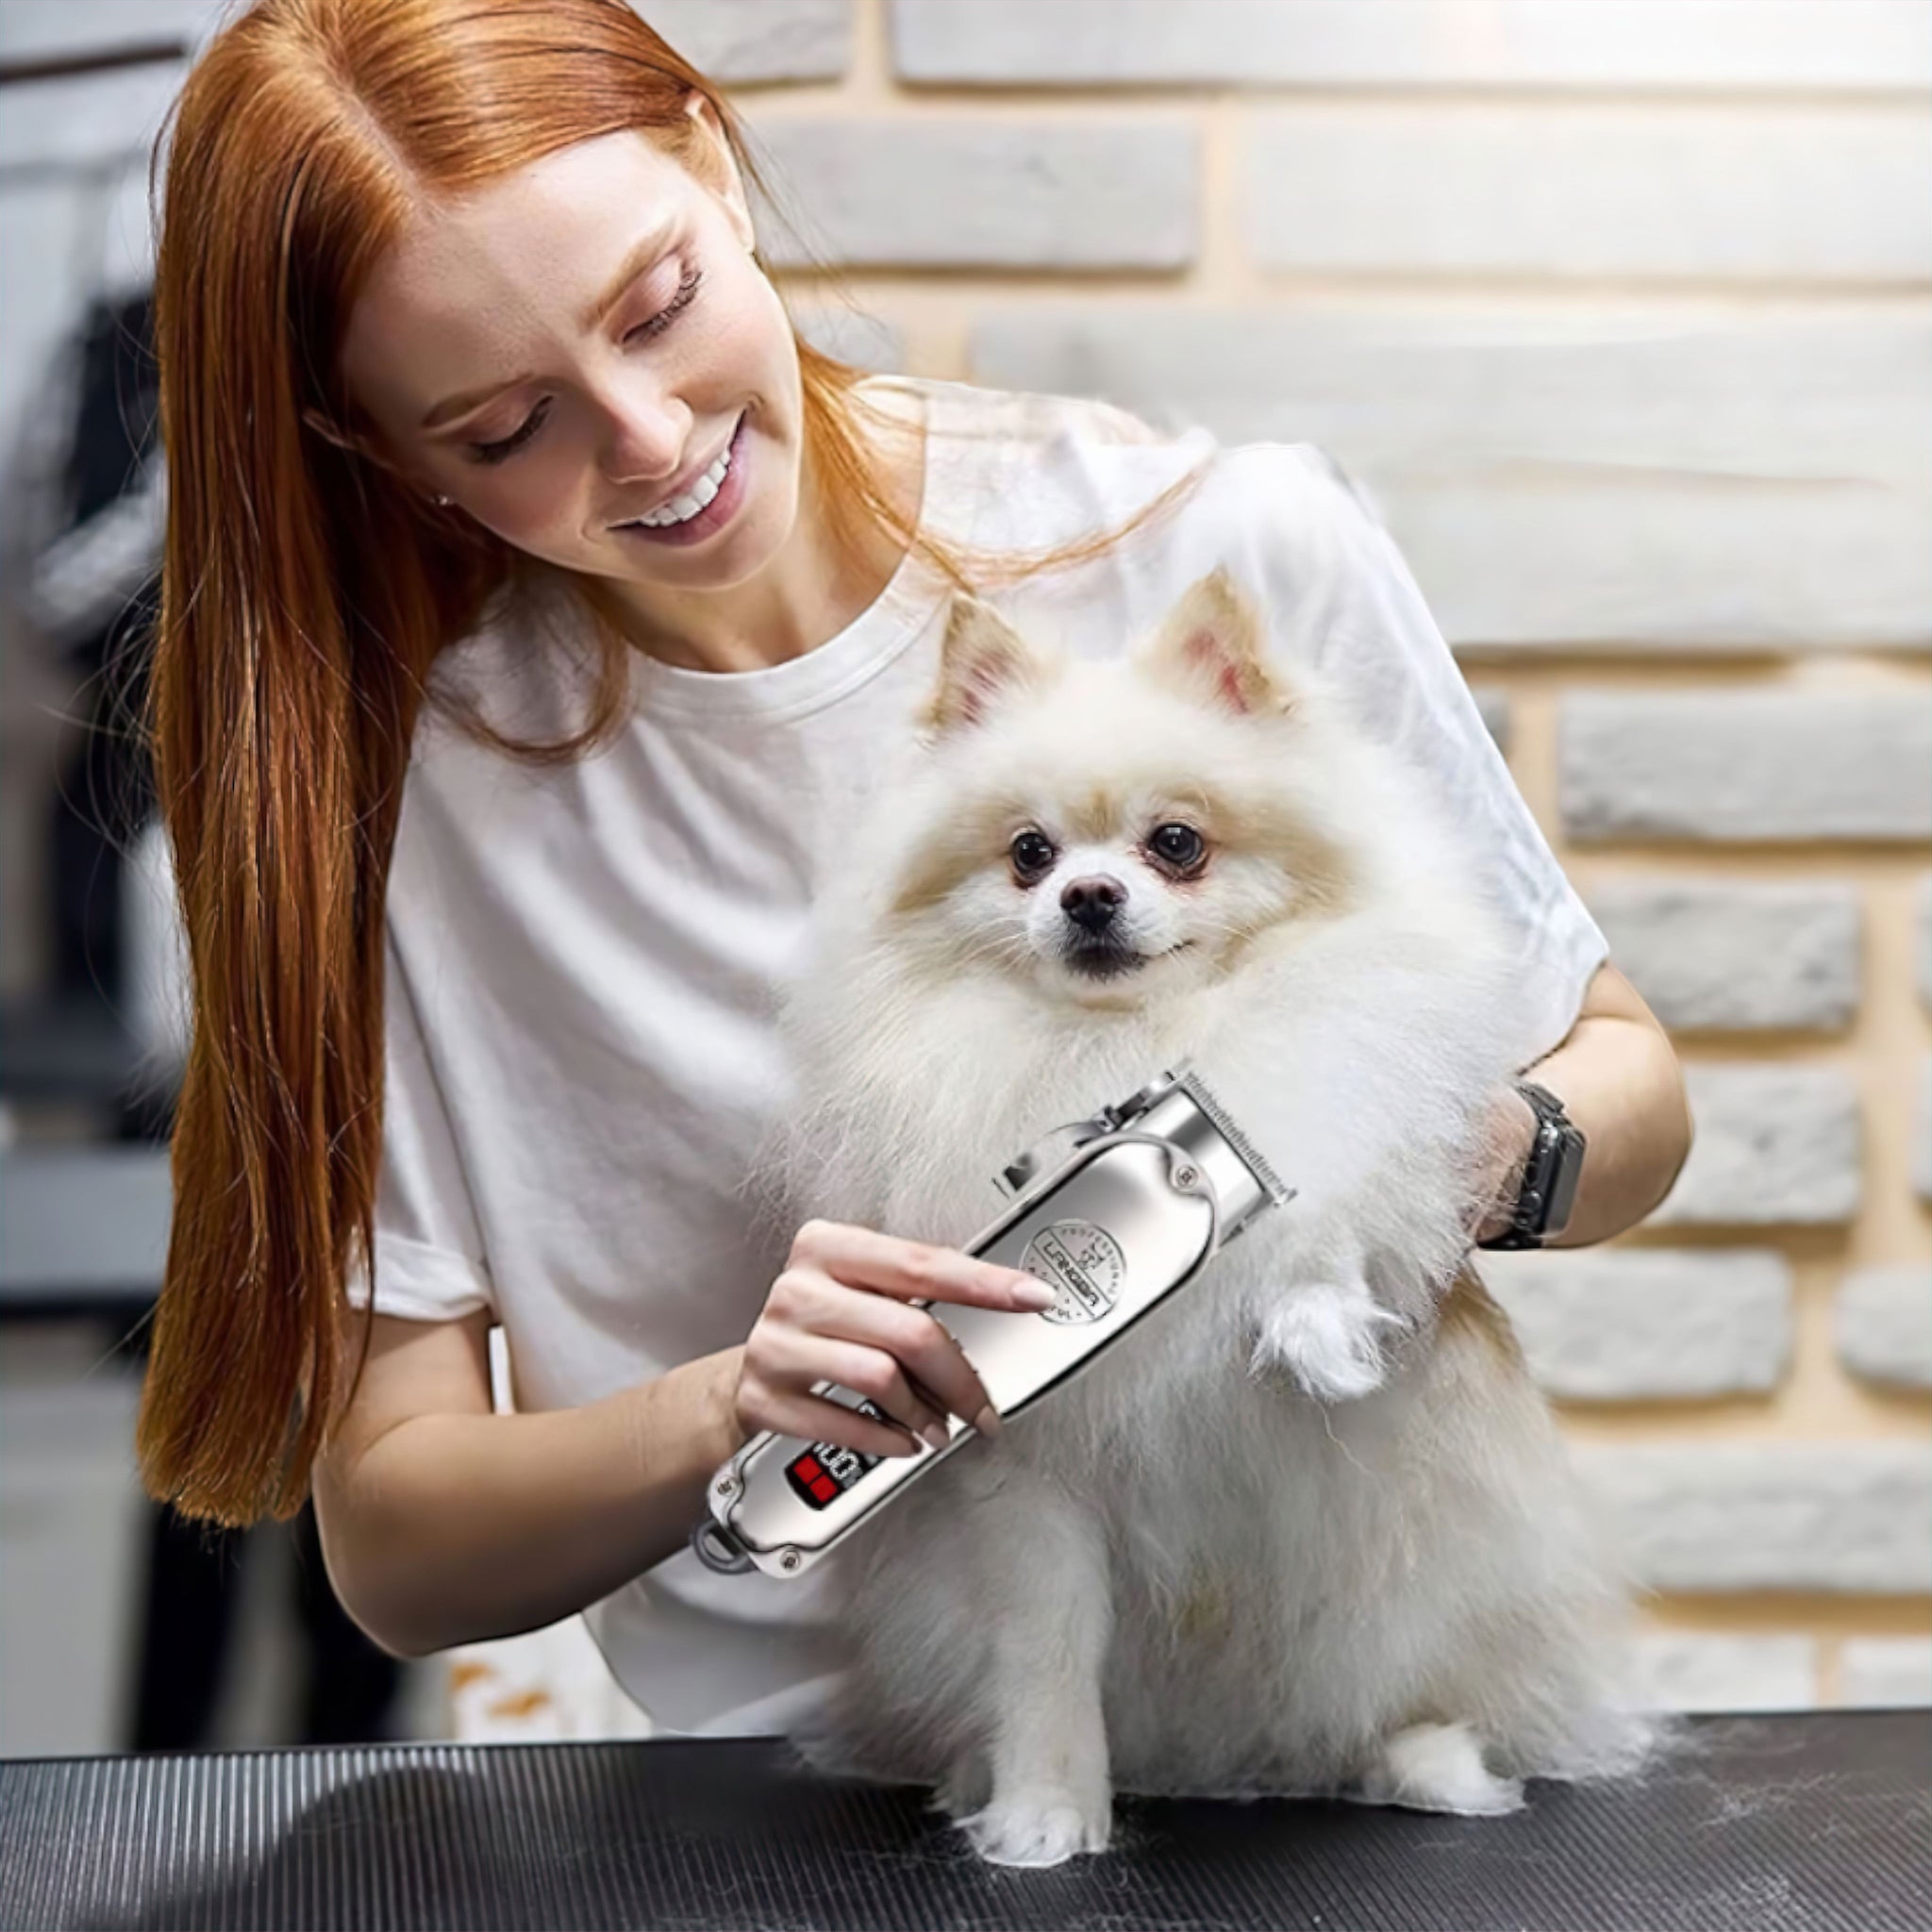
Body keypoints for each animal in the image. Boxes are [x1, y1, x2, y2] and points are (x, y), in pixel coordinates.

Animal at [745, 564, 1669, 1862]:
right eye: (1027, 853)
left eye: (1173, 842)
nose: (1086, 893)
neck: (1119, 1041)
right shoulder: (1026, 1492)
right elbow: (1043, 1657)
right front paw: (1042, 1812)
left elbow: (1326, 1212)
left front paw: (1317, 1324)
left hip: (1415, 1566)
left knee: (1391, 1684)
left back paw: (1428, 1762)